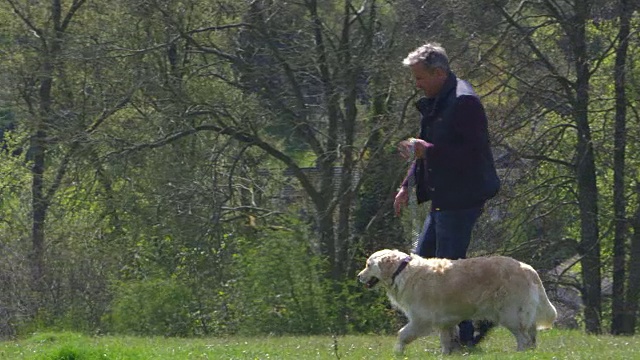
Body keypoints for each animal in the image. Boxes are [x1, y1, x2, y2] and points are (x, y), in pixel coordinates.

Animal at [358, 249, 556, 352]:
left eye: (368, 265)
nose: (358, 276)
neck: (402, 272)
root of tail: (528, 268)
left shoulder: (421, 320)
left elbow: (401, 334)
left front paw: (398, 353)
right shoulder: (445, 322)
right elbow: (446, 341)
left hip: (510, 314)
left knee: (523, 338)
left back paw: (518, 353)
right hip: (522, 315)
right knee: (531, 336)